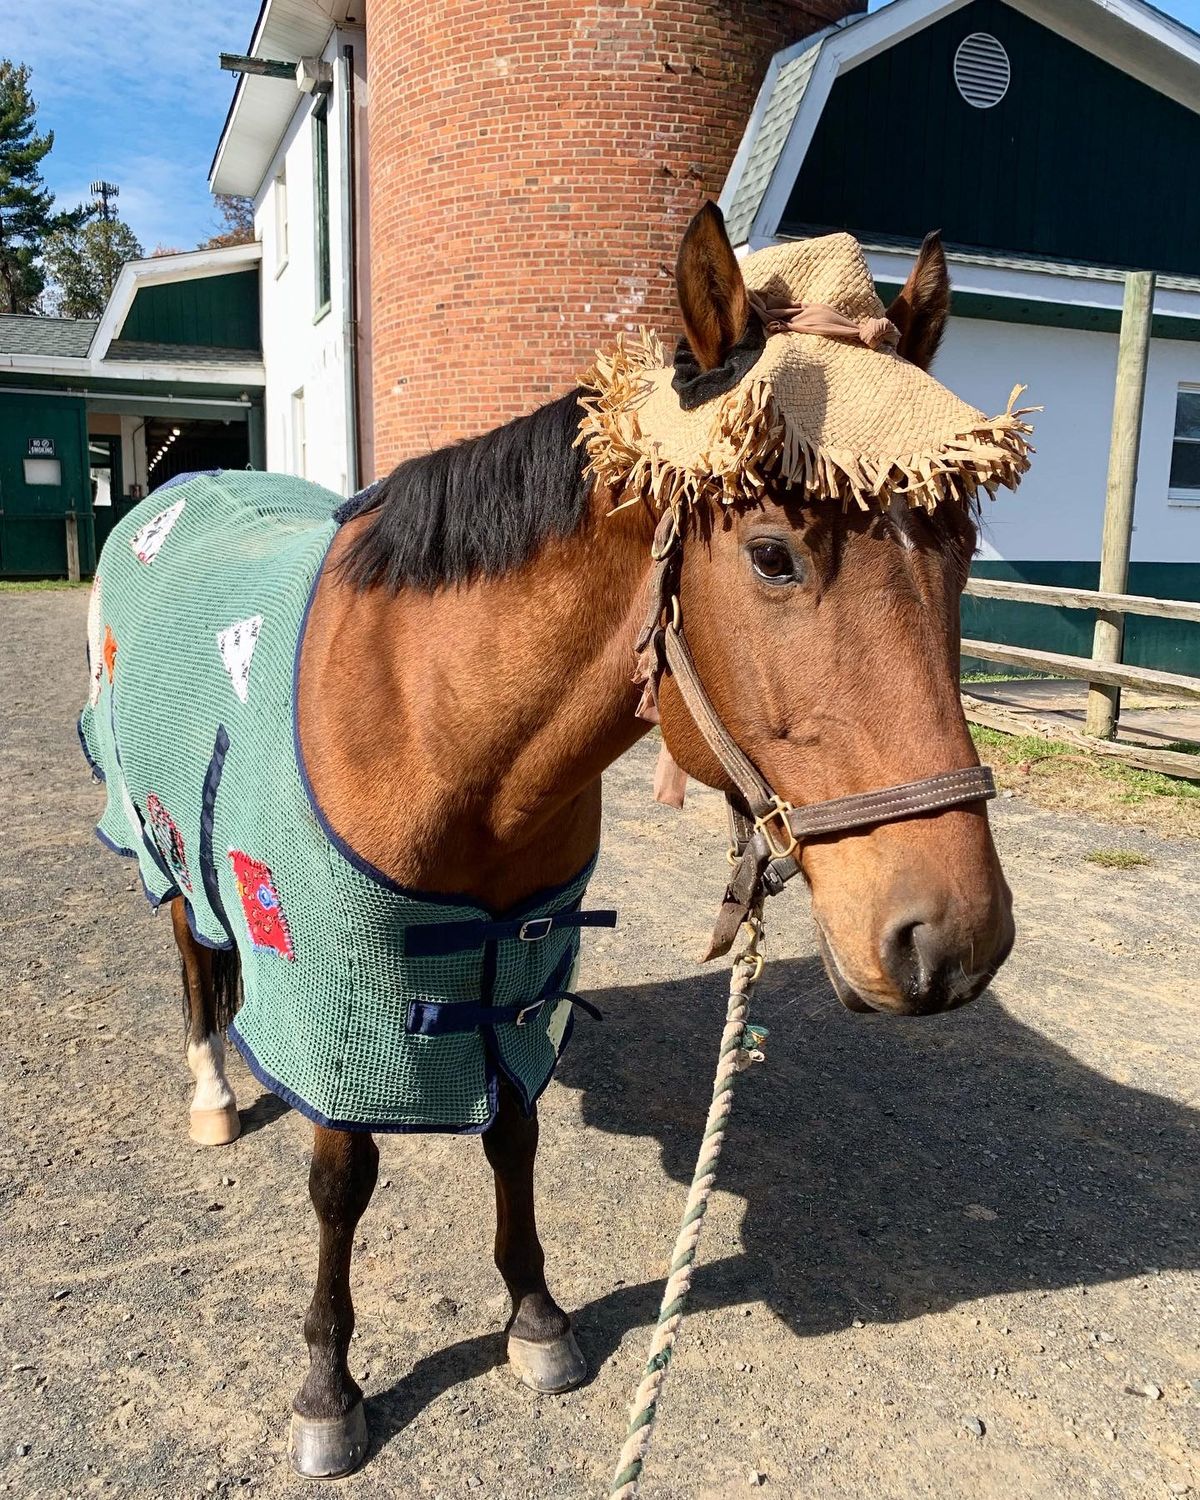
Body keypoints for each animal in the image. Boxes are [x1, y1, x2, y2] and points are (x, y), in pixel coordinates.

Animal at [168, 202, 1014, 1476]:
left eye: (960, 550)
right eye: (773, 552)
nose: (953, 941)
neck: (430, 716)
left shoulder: (520, 960)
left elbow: (514, 1135)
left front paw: (536, 1317)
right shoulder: (329, 981)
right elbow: (342, 1176)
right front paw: (328, 1385)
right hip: (166, 843)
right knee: (190, 960)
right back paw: (215, 1091)